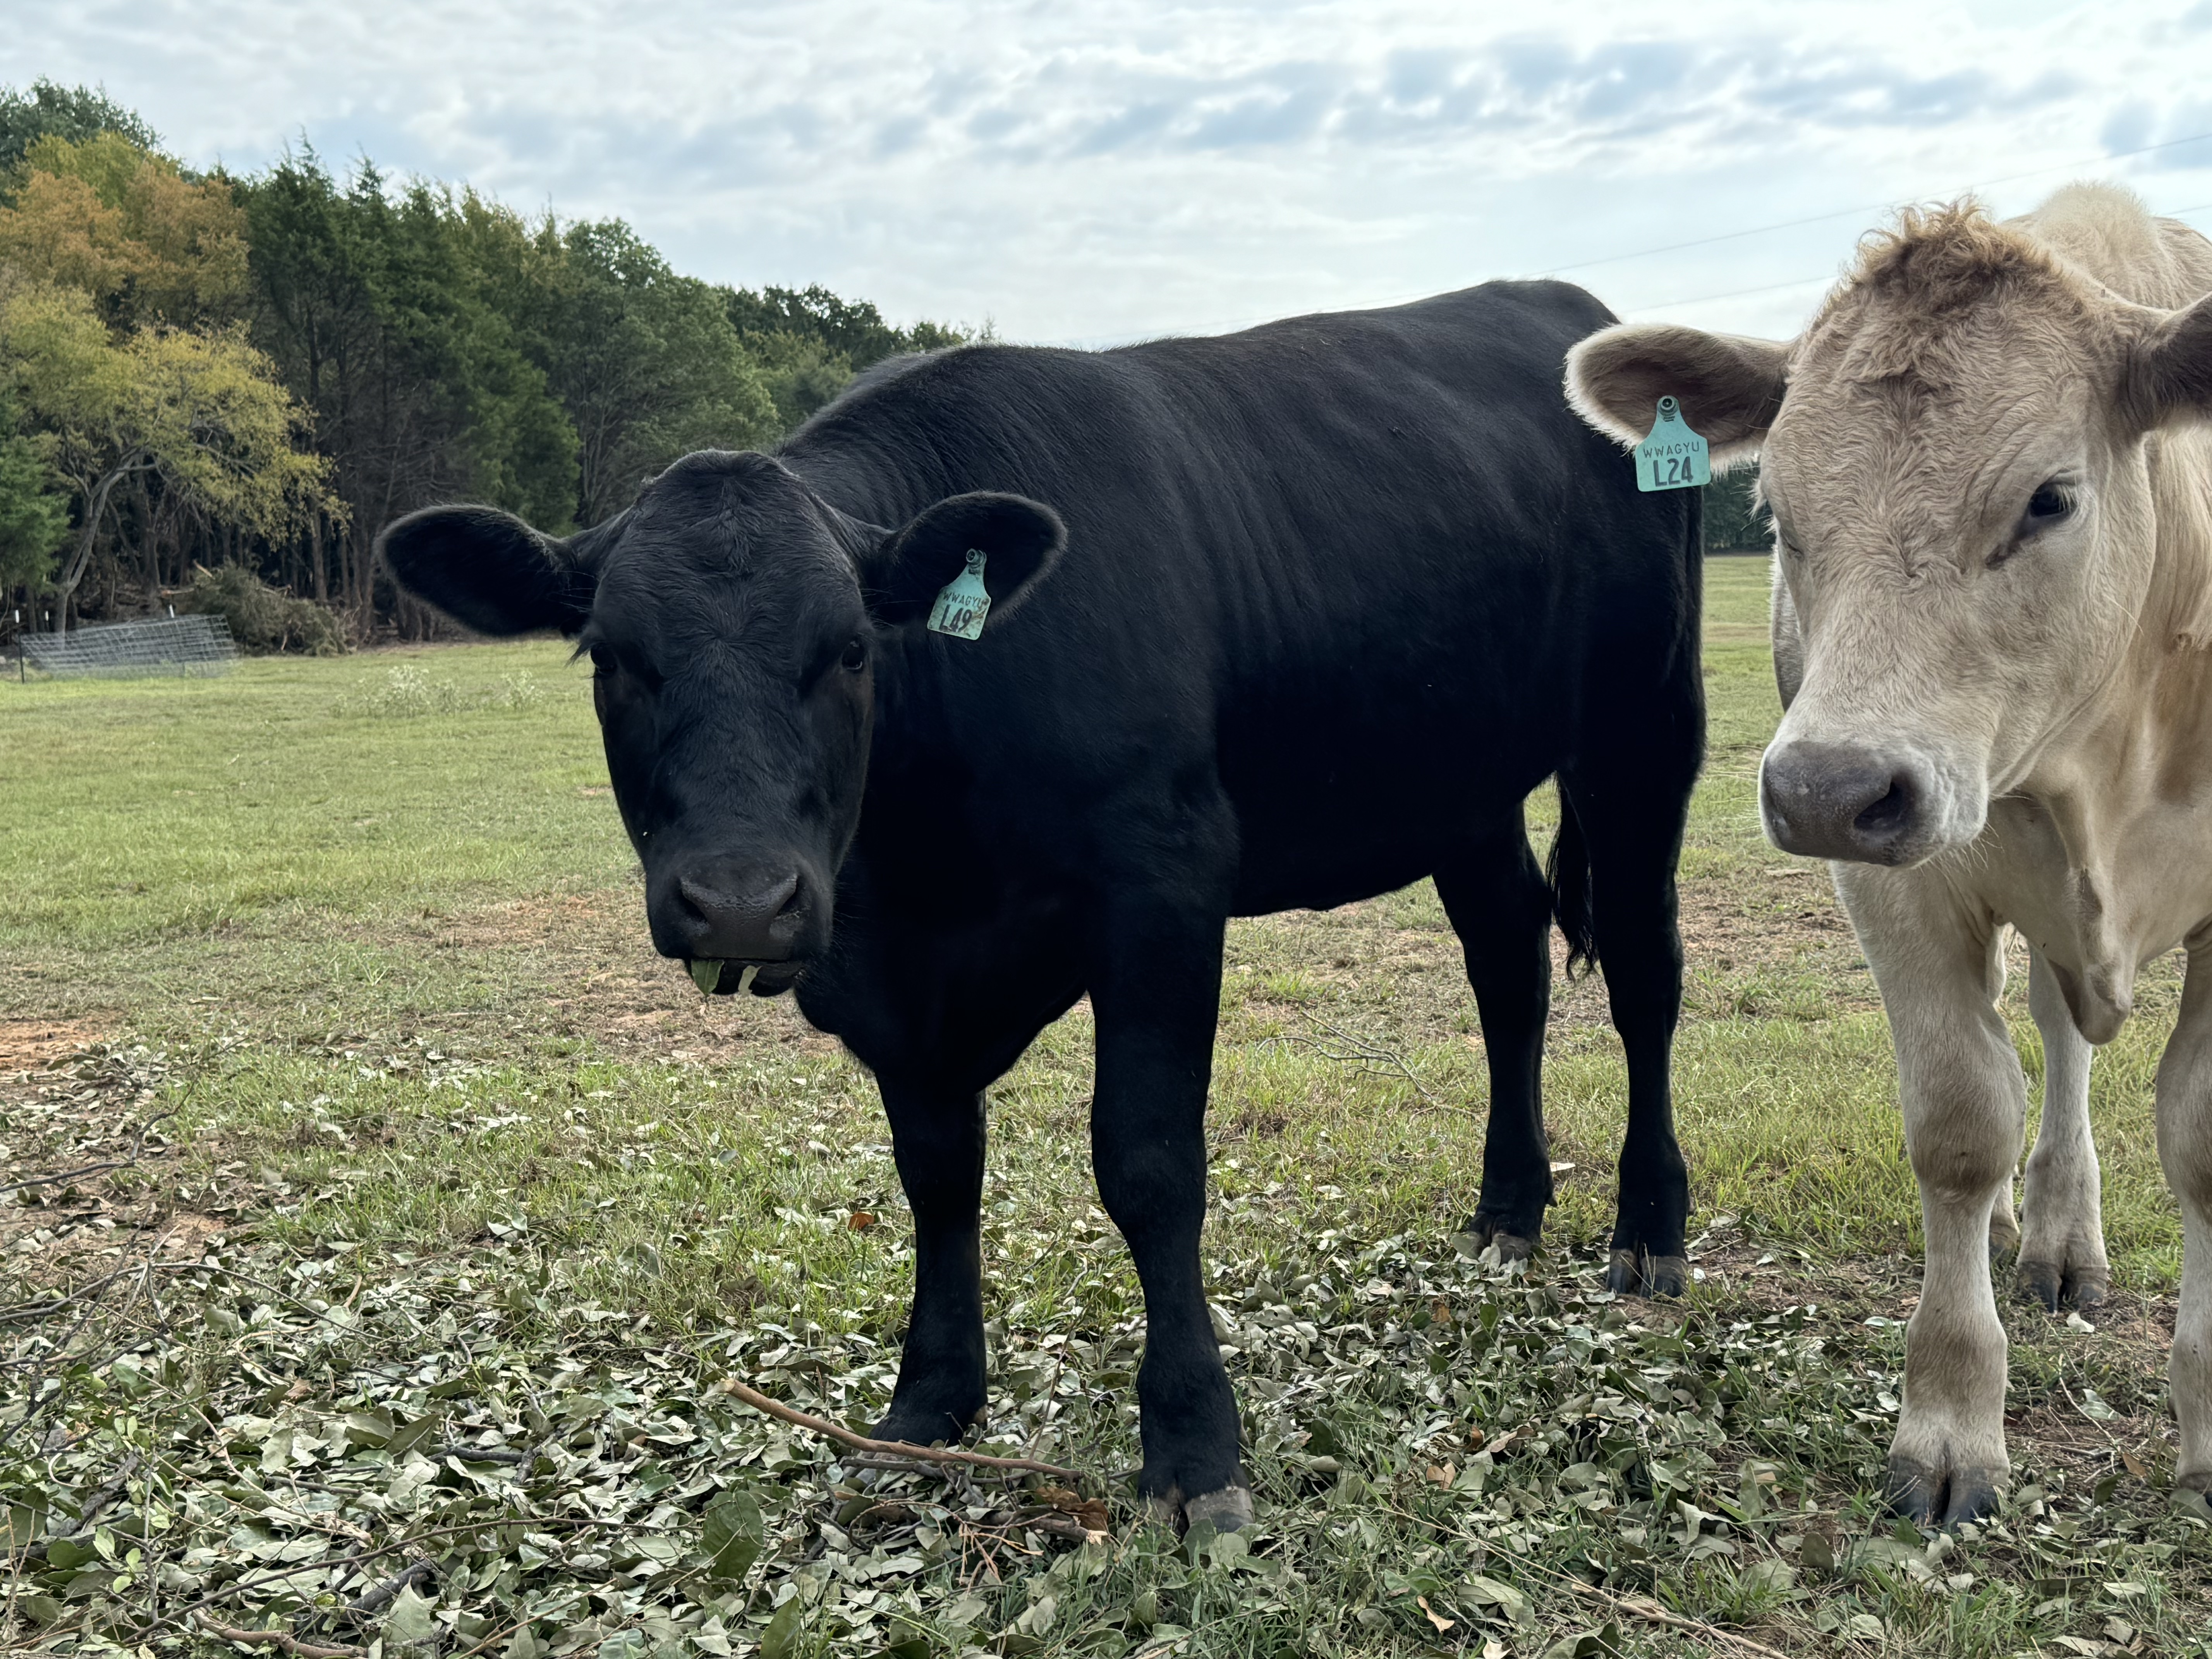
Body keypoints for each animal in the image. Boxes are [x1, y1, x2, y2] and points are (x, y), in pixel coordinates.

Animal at [380, 283, 1698, 1530]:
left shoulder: (1163, 878)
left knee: (1643, 976)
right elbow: (936, 1170)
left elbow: (1147, 1160)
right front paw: (929, 1401)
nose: (744, 903)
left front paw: (1193, 1447)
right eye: (610, 656)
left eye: (850, 647)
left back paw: (1648, 1229)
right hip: (1459, 780)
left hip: (1640, 729)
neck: (919, 871)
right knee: (1506, 964)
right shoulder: (892, 977)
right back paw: (1506, 1211)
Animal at [1566, 184, 2212, 1530]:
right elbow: (1961, 1125)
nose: (1823, 788)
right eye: (1775, 513)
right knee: (2048, 1037)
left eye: (2048, 498)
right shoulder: (1893, 884)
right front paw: (1950, 1424)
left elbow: (2201, 1143)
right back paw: (2046, 1223)